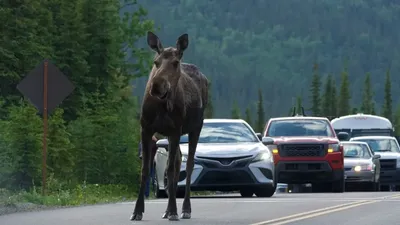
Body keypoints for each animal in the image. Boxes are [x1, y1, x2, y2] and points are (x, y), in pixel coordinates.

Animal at [130, 30, 208, 221]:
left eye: (175, 63)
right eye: (156, 62)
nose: (157, 86)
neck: (162, 105)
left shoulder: (175, 130)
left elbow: (171, 169)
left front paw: (173, 210)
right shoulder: (146, 128)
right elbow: (145, 169)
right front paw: (137, 211)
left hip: (196, 127)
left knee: (188, 165)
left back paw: (185, 209)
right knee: (179, 161)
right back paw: (167, 210)